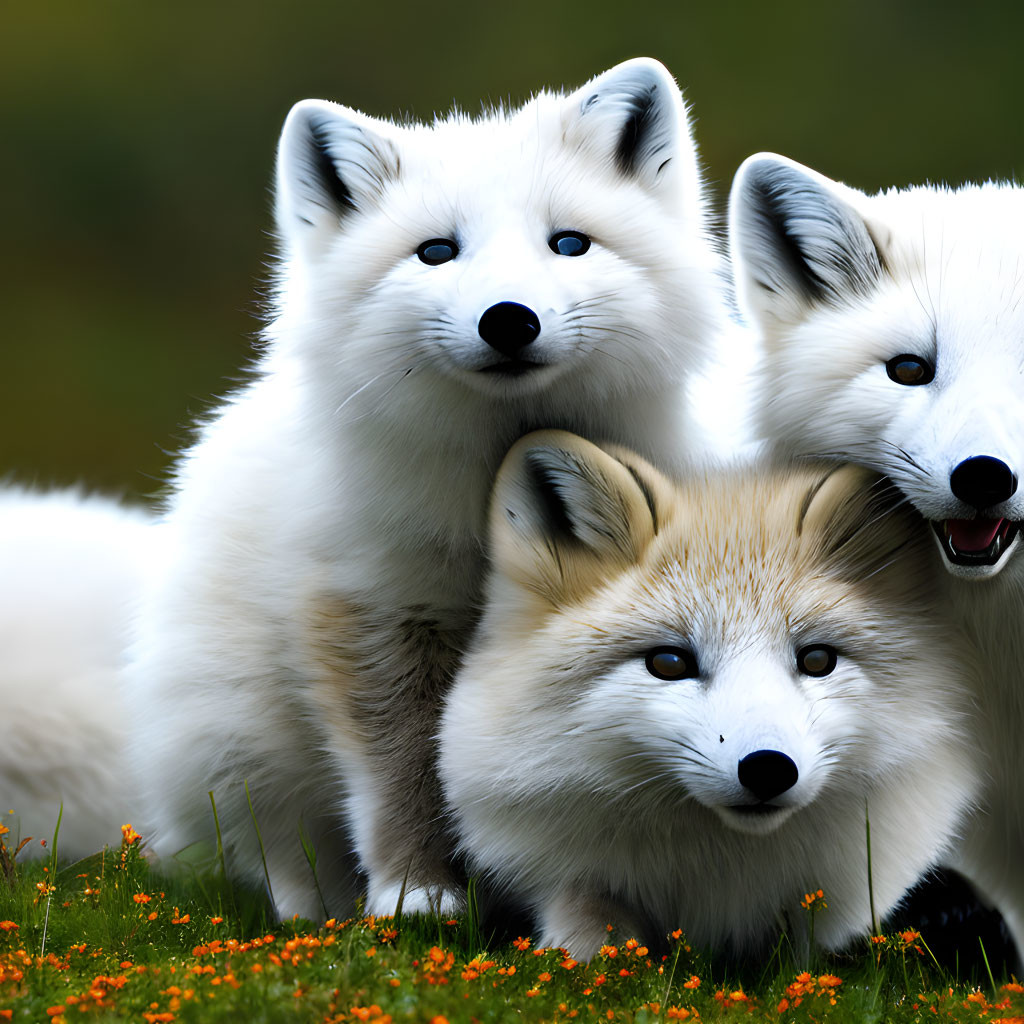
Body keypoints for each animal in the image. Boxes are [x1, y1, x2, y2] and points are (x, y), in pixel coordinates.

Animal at [128, 58, 729, 921]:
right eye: (436, 252)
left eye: (569, 244)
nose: (508, 319)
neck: (492, 491)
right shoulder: (378, 612)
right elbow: (404, 777)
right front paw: (419, 895)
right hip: (238, 740)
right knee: (286, 857)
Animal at [436, 428, 978, 954]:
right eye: (669, 663)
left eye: (817, 661)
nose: (768, 768)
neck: (719, 872)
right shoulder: (573, 877)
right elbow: (587, 942)